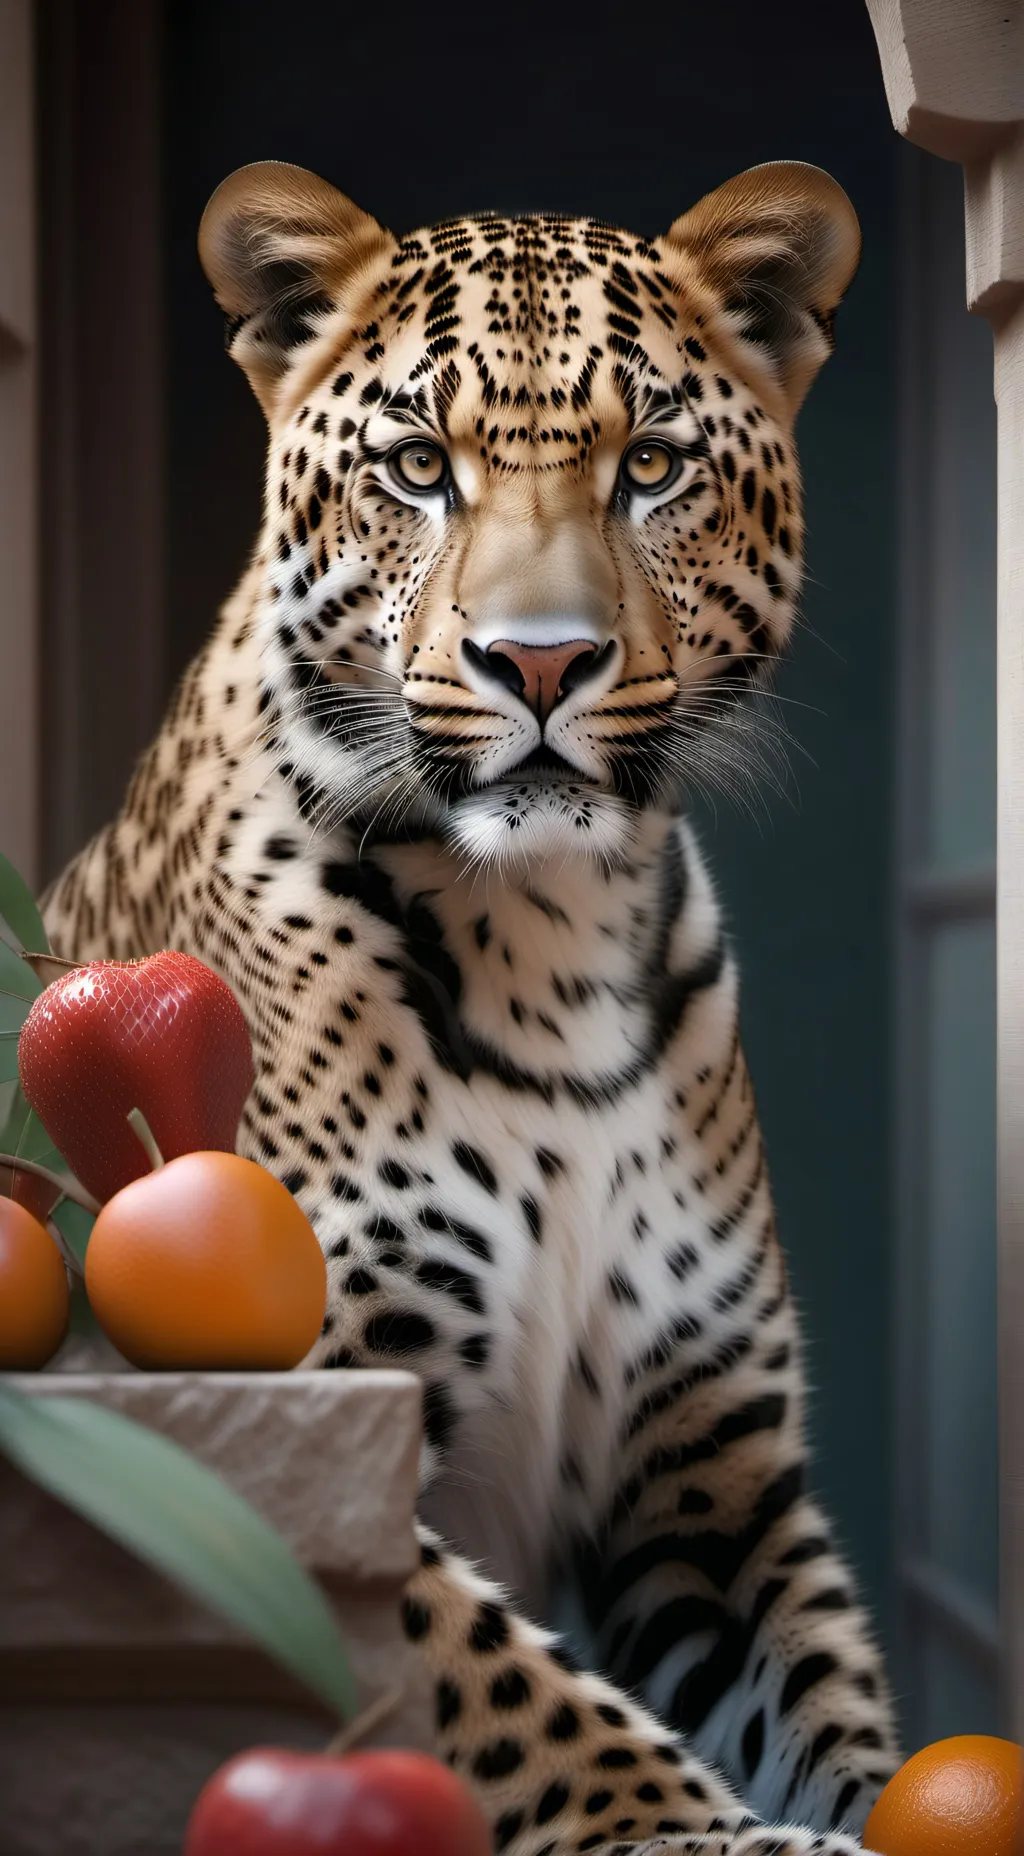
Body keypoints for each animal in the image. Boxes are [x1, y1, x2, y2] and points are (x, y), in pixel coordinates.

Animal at [42, 157, 901, 1855]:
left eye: (651, 467)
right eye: (420, 467)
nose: (543, 662)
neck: (548, 930)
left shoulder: (710, 1487)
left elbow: (846, 1723)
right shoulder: (307, 1422)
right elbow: (532, 1703)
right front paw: (718, 1835)